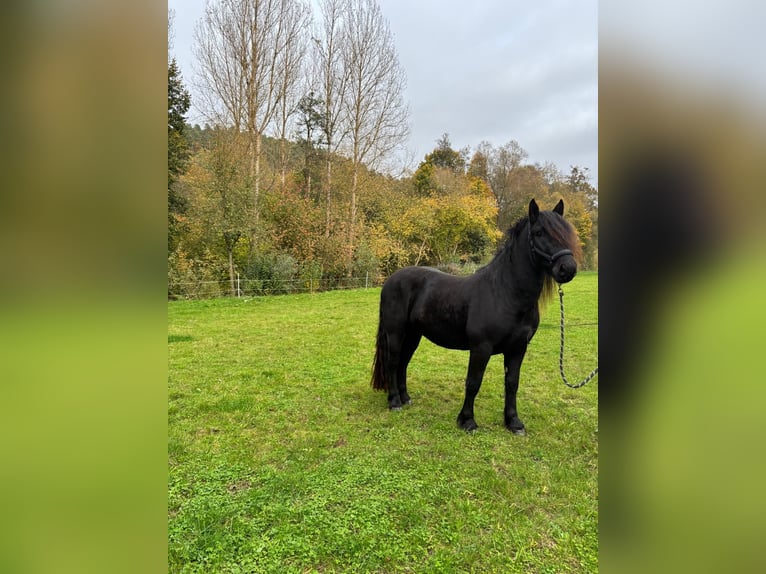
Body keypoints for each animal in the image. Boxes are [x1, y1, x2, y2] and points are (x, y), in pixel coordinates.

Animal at [372, 200, 584, 434]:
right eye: (538, 232)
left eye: (566, 232)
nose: (568, 269)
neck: (506, 293)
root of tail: (391, 280)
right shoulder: (481, 347)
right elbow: (473, 382)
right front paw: (467, 421)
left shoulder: (518, 348)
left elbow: (512, 383)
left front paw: (513, 422)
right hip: (396, 333)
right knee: (393, 362)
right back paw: (394, 402)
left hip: (413, 335)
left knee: (403, 363)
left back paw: (406, 398)